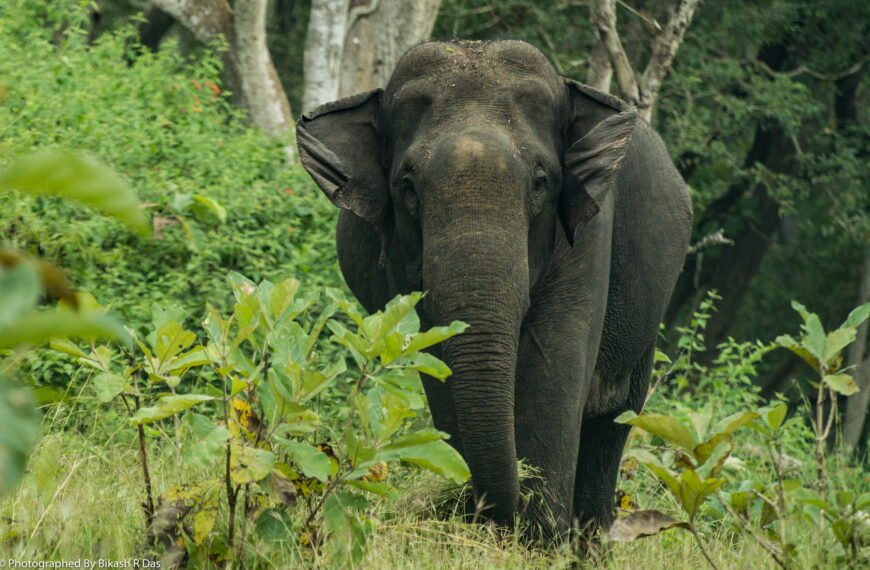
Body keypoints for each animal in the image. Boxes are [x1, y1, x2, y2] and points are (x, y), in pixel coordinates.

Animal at [296, 40, 692, 541]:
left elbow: (553, 365)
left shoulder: (586, 237)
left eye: (541, 181)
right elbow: (440, 362)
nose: (485, 512)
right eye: (407, 186)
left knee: (612, 424)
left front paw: (536, 543)